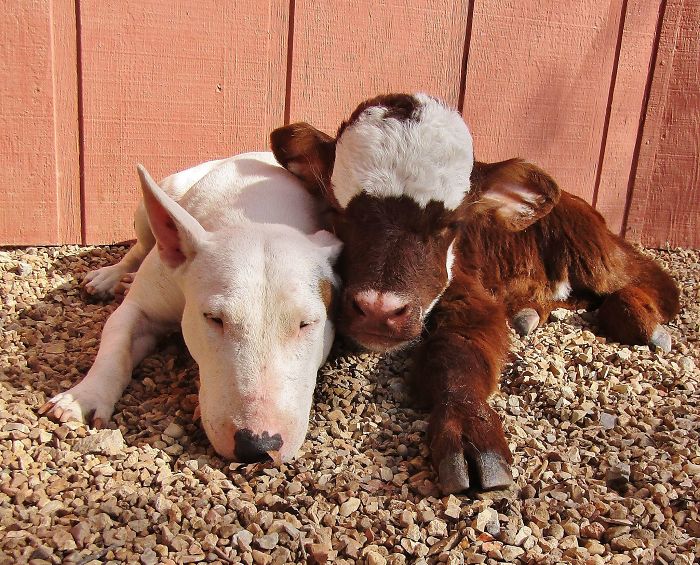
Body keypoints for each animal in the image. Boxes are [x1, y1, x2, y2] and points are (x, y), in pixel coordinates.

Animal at [39, 152, 344, 460]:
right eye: (213, 318)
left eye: (307, 324)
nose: (256, 447)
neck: (258, 217)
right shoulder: (141, 306)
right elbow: (117, 340)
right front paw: (82, 398)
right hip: (158, 201)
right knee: (139, 247)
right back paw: (111, 276)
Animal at [270, 93, 680, 494]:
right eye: (338, 211)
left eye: (452, 224)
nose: (378, 311)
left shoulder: (467, 292)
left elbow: (459, 352)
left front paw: (469, 430)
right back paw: (531, 311)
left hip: (591, 248)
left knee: (650, 276)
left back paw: (639, 318)